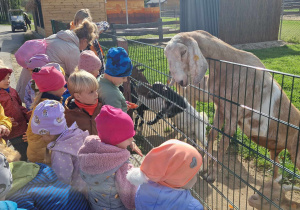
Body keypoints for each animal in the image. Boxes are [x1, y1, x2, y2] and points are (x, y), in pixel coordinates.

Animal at [165, 30, 300, 183]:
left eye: (183, 52)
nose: (180, 81)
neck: (228, 67)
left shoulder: (234, 114)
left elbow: (223, 143)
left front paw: (211, 175)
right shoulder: (220, 108)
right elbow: (212, 135)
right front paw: (203, 167)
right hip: (276, 151)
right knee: (276, 164)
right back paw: (275, 181)